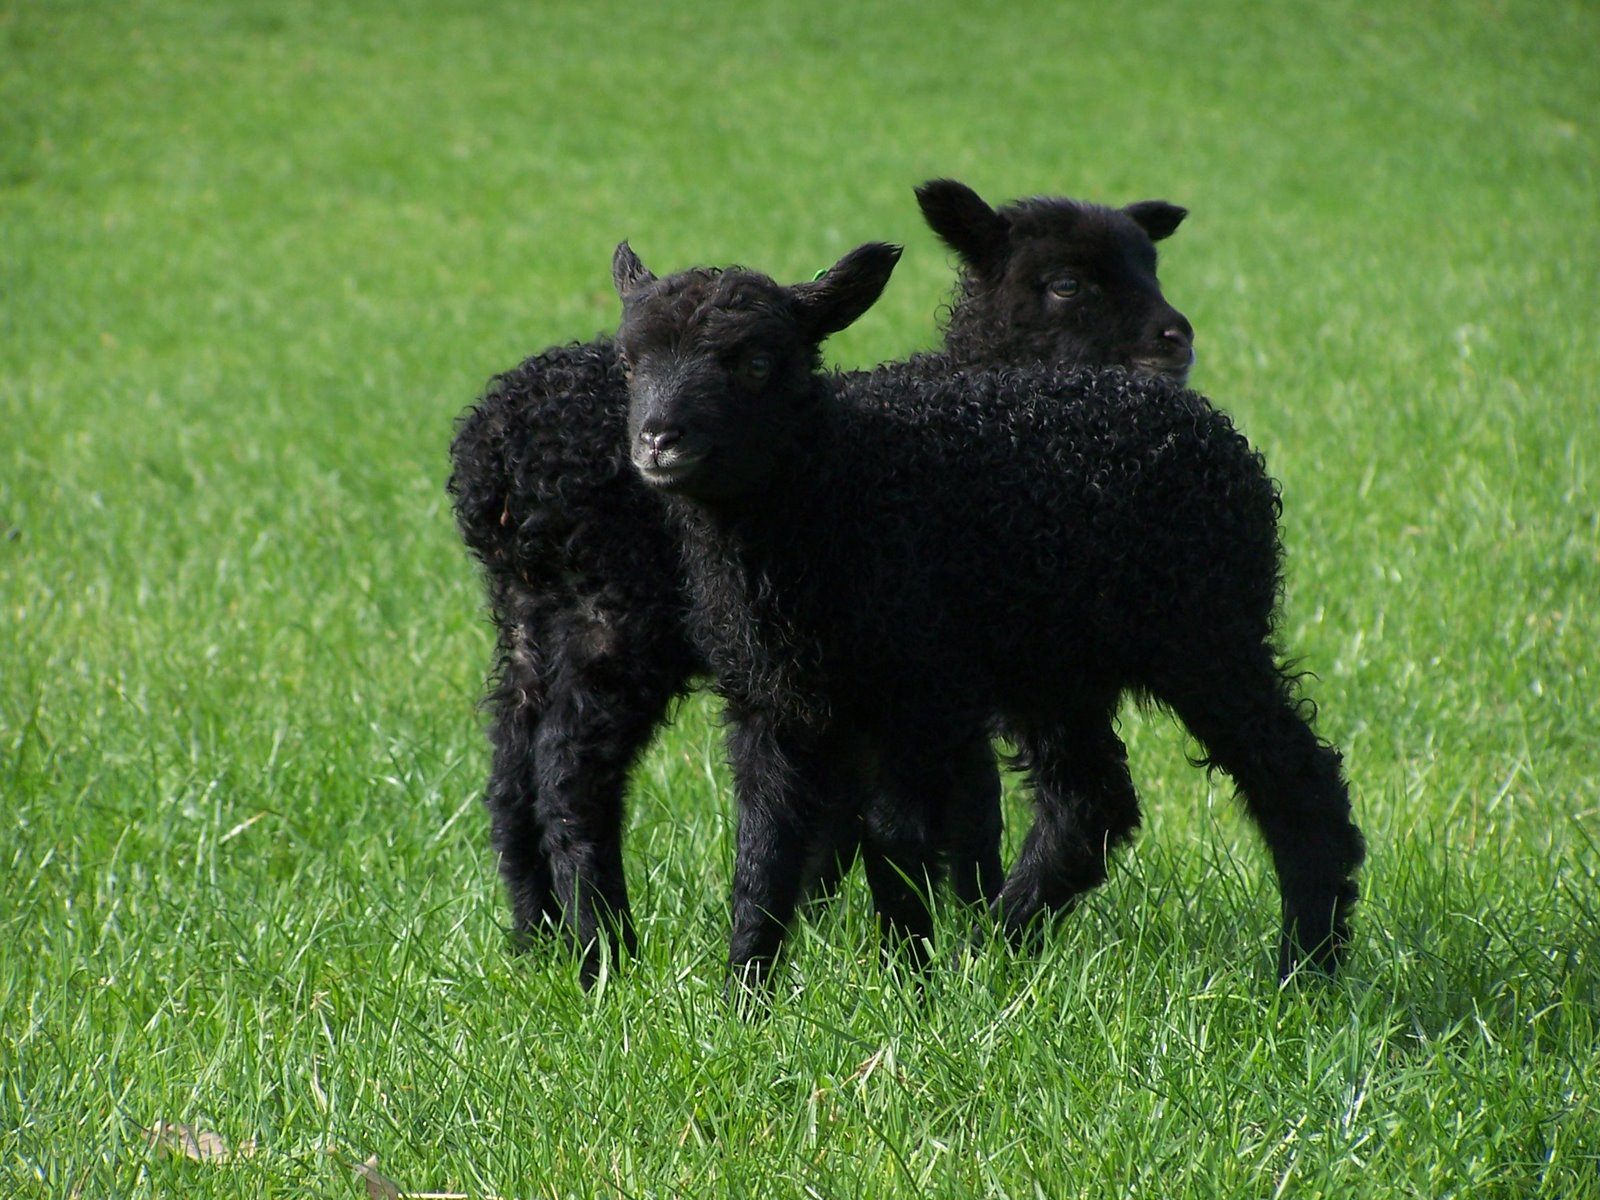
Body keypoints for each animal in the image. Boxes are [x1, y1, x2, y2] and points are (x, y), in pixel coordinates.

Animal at [448, 180, 1196, 985]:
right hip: (613, 621)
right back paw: (606, 955)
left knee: (510, 774)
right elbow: (966, 807)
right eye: (1065, 284)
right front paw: (958, 930)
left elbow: (945, 802)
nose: (1177, 340)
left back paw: (535, 942)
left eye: (1151, 264)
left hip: (527, 622)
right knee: (570, 777)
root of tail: (498, 452)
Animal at [611, 240, 1365, 990]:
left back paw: (1305, 969)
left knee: (1298, 781)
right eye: (630, 362)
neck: (836, 486)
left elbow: (893, 839)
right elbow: (763, 854)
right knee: (1090, 805)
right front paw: (746, 994)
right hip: (1058, 667)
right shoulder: (770, 701)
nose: (659, 441)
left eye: (758, 363)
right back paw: (997, 951)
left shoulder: (919, 691)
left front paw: (906, 980)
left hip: (1208, 633)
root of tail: (1208, 426)